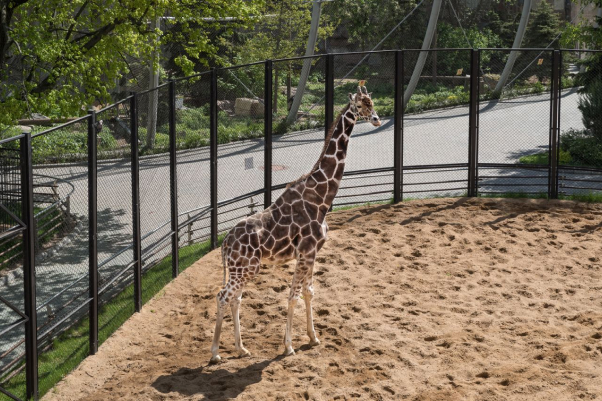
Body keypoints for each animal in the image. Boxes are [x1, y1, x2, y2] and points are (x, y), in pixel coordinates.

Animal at [211, 83, 380, 360]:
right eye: (359, 105)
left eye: (372, 102)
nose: (376, 119)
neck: (321, 197)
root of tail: (224, 244)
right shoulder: (306, 251)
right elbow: (293, 296)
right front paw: (289, 346)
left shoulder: (312, 253)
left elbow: (308, 293)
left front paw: (313, 338)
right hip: (245, 268)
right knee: (223, 296)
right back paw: (215, 353)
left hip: (242, 269)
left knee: (236, 299)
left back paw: (241, 348)